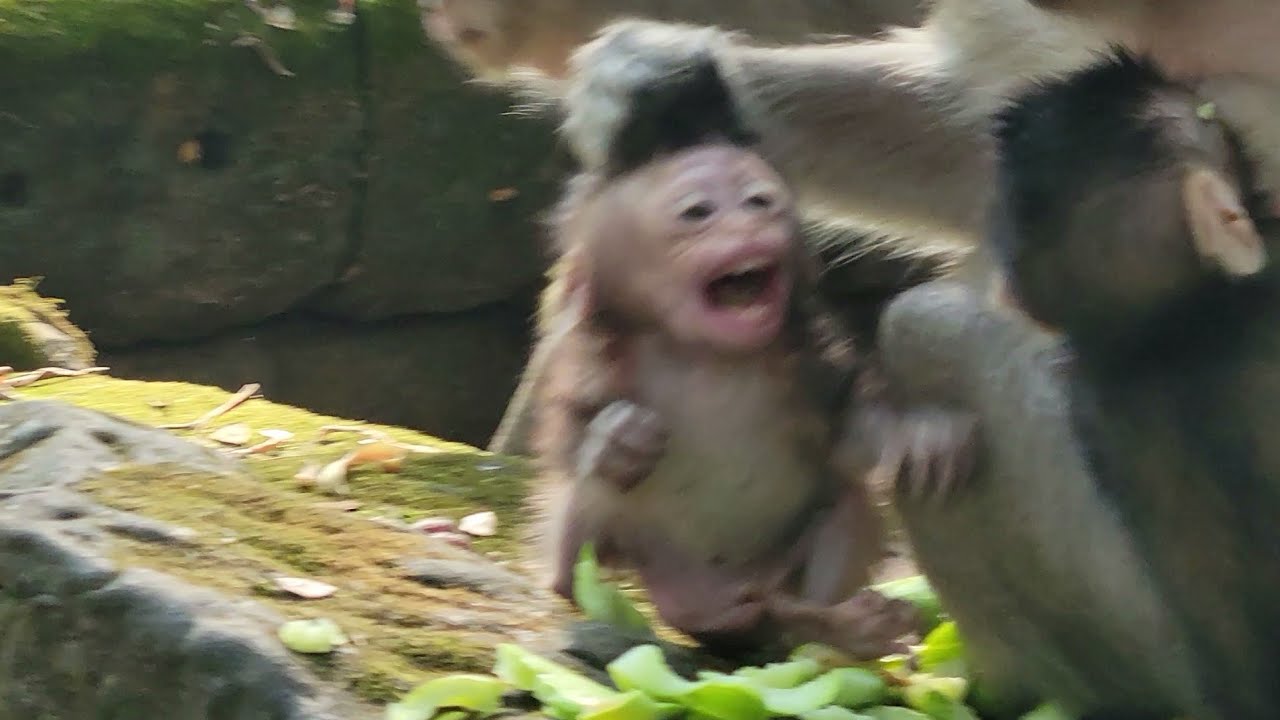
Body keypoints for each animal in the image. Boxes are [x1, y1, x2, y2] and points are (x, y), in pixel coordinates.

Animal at [530, 59, 920, 660]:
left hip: (773, 576)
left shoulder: (808, 357)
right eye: (700, 212)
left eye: (759, 201)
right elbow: (572, 439)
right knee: (584, 513)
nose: (748, 223)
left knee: (844, 509)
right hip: (656, 568)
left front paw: (923, 435)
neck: (705, 354)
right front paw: (618, 440)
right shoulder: (590, 345)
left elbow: (853, 429)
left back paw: (835, 626)